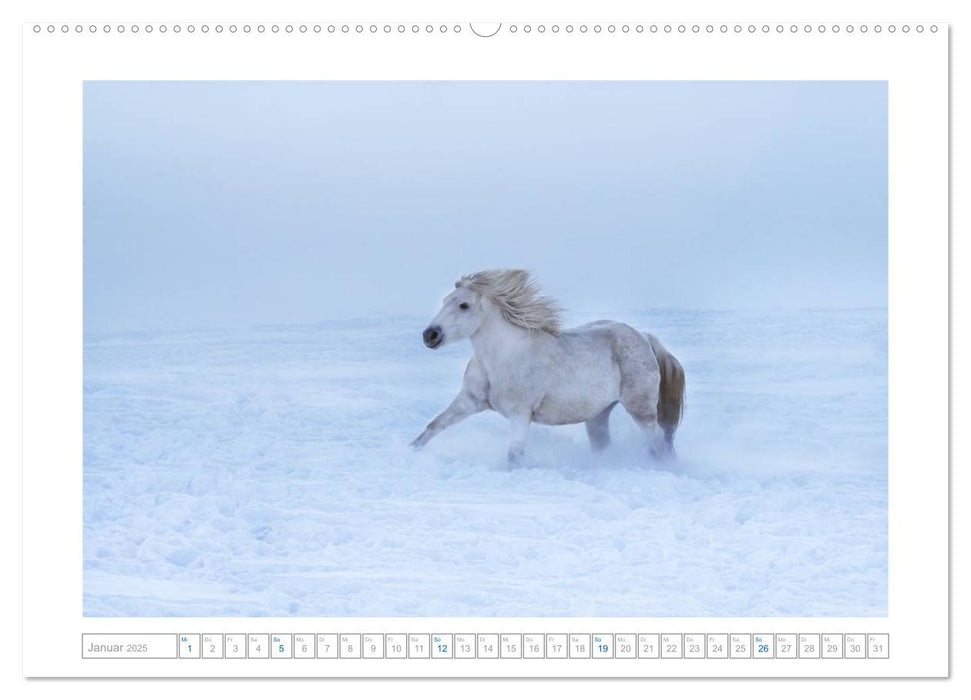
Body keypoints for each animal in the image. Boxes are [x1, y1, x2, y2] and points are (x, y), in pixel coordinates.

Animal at [410, 270, 684, 468]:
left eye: (464, 305)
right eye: (445, 301)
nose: (430, 335)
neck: (501, 359)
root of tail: (645, 338)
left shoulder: (521, 414)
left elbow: (514, 456)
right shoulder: (469, 401)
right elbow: (432, 427)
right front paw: (409, 452)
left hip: (641, 410)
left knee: (659, 444)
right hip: (597, 415)